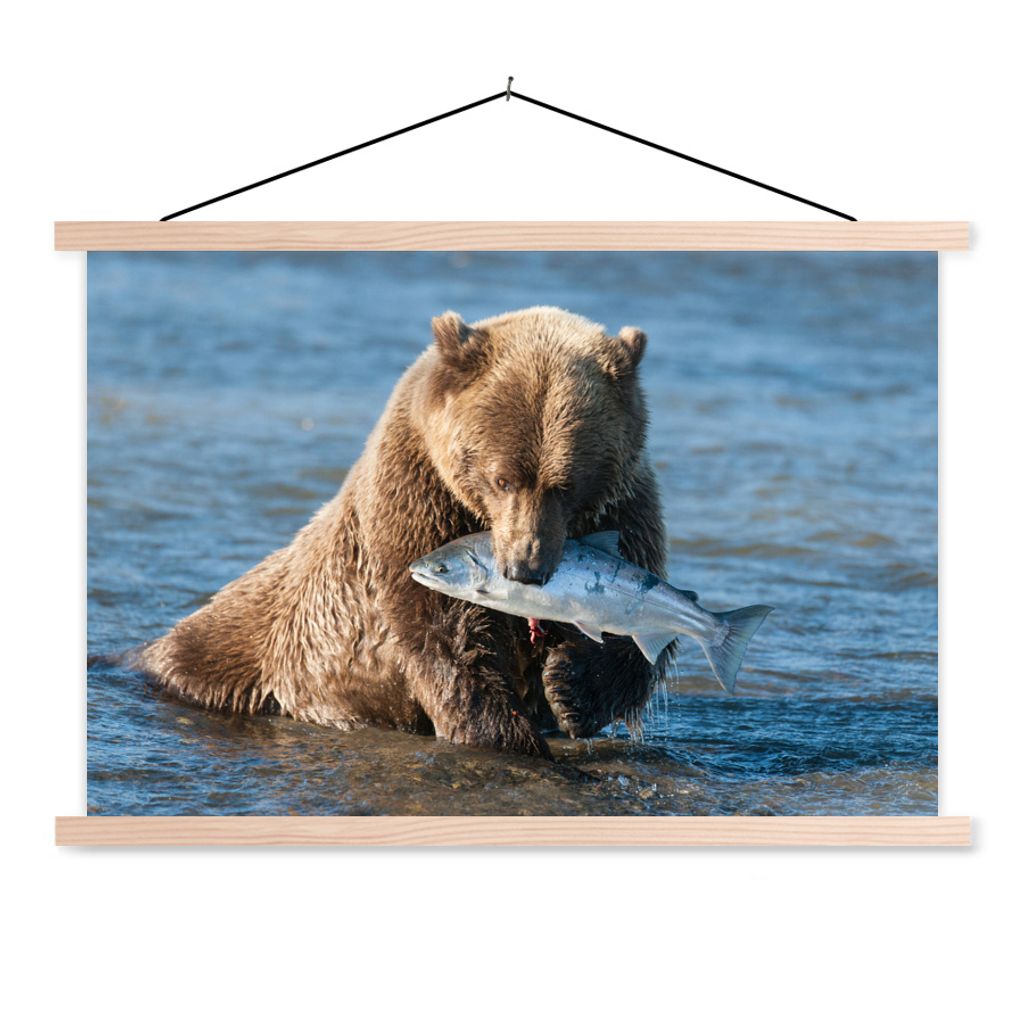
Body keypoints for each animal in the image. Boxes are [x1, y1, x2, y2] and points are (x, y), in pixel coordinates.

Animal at [136, 306, 669, 758]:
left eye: (566, 484)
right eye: (502, 478)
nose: (526, 567)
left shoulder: (622, 509)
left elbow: (638, 627)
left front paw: (569, 686)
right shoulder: (417, 500)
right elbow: (447, 634)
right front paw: (506, 734)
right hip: (249, 647)